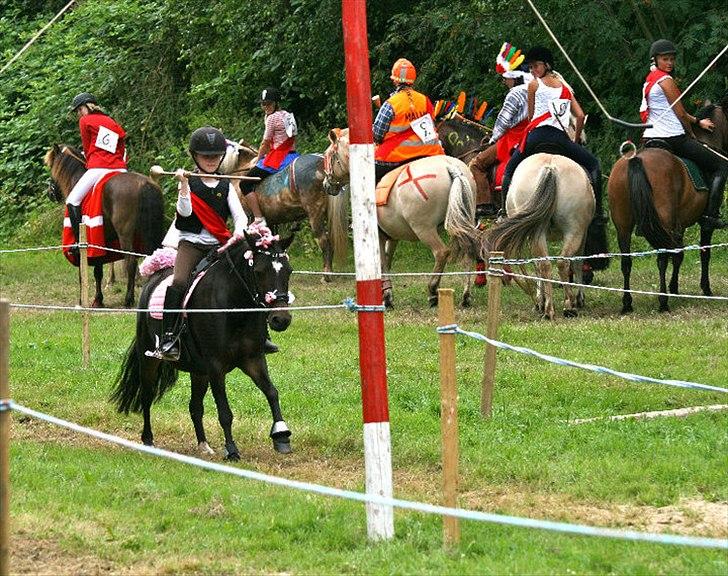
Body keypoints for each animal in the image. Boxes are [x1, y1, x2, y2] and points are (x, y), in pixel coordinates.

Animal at [45, 143, 165, 306]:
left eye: (51, 165)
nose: (50, 193)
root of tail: (144, 184)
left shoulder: (86, 244)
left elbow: (84, 272)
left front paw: (84, 300)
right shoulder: (100, 243)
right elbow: (98, 271)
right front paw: (98, 299)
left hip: (125, 235)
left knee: (131, 261)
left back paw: (128, 299)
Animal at [112, 230, 294, 460]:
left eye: (288, 271)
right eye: (259, 271)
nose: (281, 319)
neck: (234, 308)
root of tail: (152, 279)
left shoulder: (252, 359)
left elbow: (272, 392)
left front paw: (282, 436)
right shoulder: (216, 366)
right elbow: (224, 412)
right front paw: (232, 449)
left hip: (199, 371)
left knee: (195, 406)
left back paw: (203, 445)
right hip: (150, 360)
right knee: (146, 395)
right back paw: (148, 440)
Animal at [324, 128, 484, 308]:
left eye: (328, 155)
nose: (326, 184)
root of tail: (450, 167)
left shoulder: (379, 236)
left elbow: (382, 263)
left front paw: (387, 298)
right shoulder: (392, 237)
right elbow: (387, 260)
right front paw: (387, 294)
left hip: (424, 229)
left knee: (441, 252)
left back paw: (433, 291)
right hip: (463, 221)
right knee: (469, 249)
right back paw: (466, 295)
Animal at [486, 153, 596, 320]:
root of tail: (550, 168)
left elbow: (538, 265)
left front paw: (541, 301)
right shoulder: (583, 236)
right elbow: (577, 263)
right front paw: (579, 298)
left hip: (545, 233)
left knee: (546, 264)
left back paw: (550, 308)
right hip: (573, 232)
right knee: (560, 263)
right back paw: (567, 305)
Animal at [604, 102, 724, 316]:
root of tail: (636, 158)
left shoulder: (679, 225)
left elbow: (679, 254)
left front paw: (674, 287)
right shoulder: (701, 225)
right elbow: (703, 252)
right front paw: (705, 288)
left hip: (623, 225)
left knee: (626, 261)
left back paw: (627, 303)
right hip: (661, 222)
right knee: (662, 258)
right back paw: (663, 301)